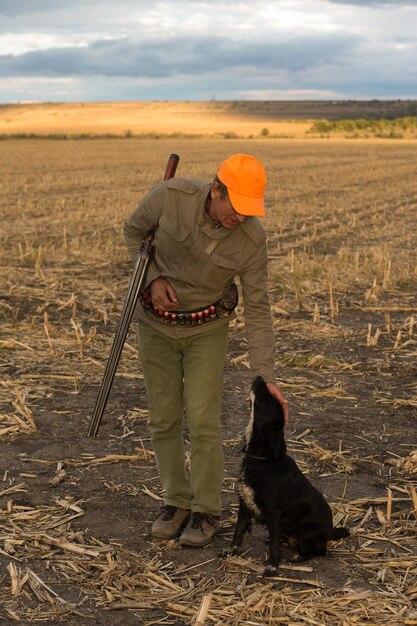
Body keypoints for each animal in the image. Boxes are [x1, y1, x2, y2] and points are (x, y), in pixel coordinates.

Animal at [221, 376, 348, 576]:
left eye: (271, 399)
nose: (260, 377)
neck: (263, 461)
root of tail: (330, 531)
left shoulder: (274, 513)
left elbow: (273, 544)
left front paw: (272, 566)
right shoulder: (244, 503)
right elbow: (238, 530)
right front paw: (231, 551)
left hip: (305, 529)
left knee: (320, 551)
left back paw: (299, 556)